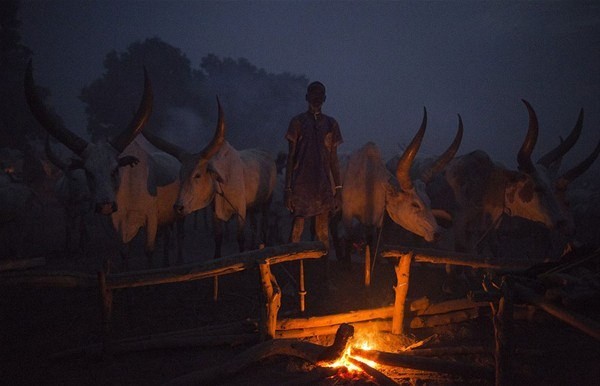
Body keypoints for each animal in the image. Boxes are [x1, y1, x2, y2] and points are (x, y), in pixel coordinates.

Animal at [338, 107, 446, 266]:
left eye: (429, 201)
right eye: (415, 204)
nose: (437, 233)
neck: (369, 180)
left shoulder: (375, 222)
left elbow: (371, 244)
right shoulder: (347, 216)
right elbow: (347, 238)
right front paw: (346, 263)